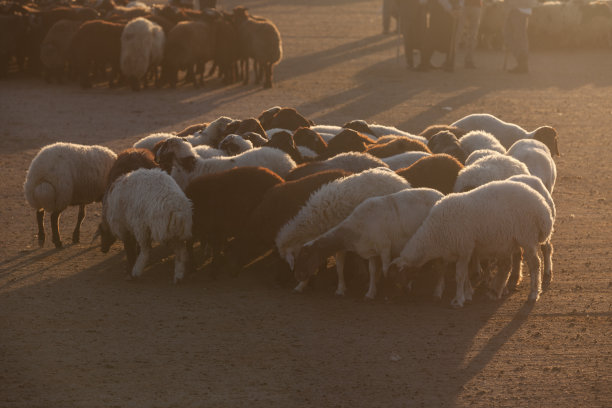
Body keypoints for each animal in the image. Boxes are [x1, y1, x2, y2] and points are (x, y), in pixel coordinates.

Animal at [274, 167, 408, 294]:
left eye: (292, 260)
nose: (295, 277)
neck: (318, 219)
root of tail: (399, 179)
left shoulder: (339, 237)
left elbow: (339, 266)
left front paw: (340, 288)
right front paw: (301, 286)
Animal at [294, 188, 442, 300]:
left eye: (305, 255)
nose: (298, 276)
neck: (354, 231)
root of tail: (440, 194)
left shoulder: (384, 247)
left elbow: (385, 270)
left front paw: (387, 291)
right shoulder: (371, 251)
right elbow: (372, 271)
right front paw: (371, 292)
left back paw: (436, 291)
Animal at [392, 180, 556, 308]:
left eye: (405, 272)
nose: (405, 291)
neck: (435, 234)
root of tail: (543, 208)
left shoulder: (464, 247)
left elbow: (460, 275)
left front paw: (459, 299)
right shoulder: (464, 250)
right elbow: (464, 274)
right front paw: (467, 293)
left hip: (526, 235)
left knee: (535, 264)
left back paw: (533, 293)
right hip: (510, 239)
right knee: (507, 265)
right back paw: (496, 291)